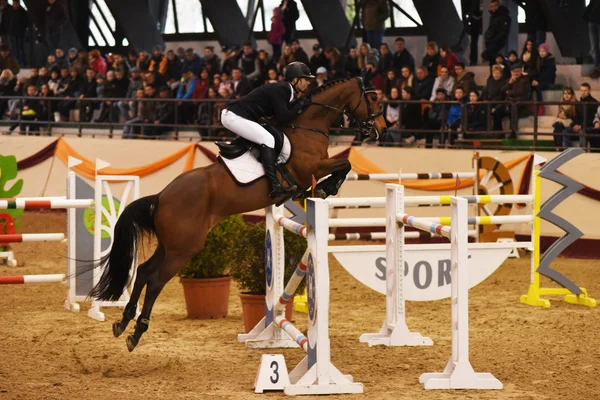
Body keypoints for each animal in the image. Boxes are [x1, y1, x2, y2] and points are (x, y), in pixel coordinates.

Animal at [89, 72, 390, 350]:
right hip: (184, 248)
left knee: (142, 271)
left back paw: (123, 321)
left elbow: (343, 165)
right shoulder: (311, 168)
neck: (308, 126)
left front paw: (323, 189)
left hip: (170, 245)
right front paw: (327, 188)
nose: (382, 129)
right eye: (374, 98)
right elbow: (344, 164)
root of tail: (161, 197)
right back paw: (137, 332)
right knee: (155, 281)